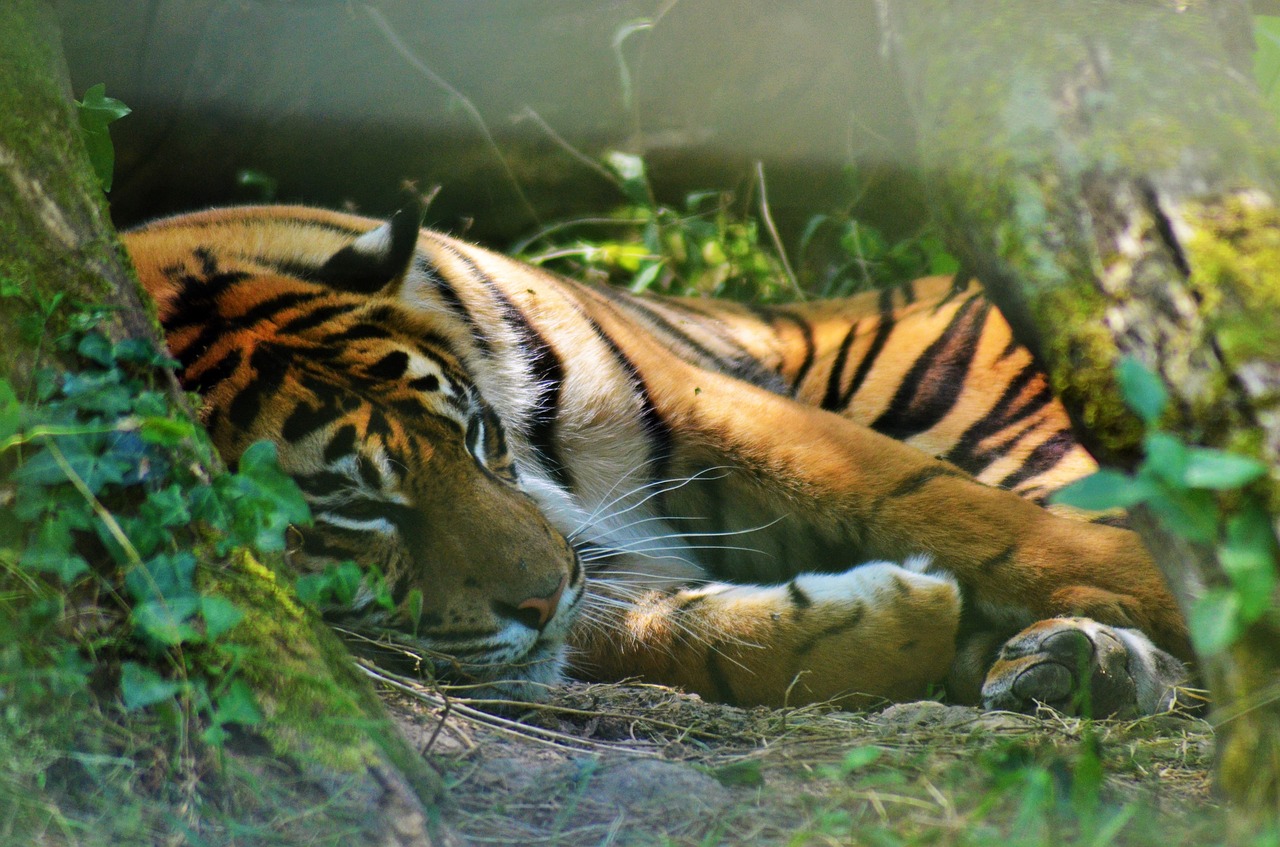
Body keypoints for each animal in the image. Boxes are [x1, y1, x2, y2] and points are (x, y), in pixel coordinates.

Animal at [124, 204, 1192, 716]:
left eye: (476, 437)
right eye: (355, 512)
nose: (547, 590)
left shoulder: (699, 402)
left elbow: (939, 504)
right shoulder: (589, 580)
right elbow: (690, 638)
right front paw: (893, 622)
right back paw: (1069, 664)